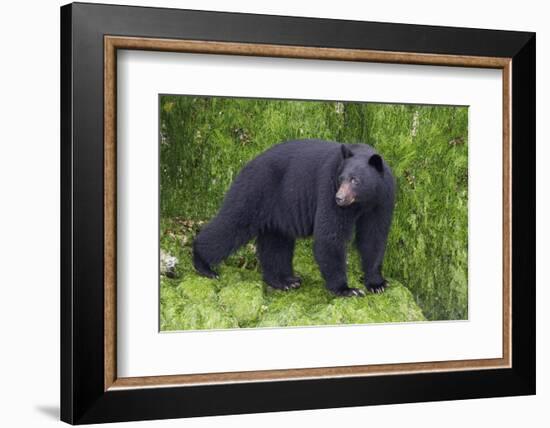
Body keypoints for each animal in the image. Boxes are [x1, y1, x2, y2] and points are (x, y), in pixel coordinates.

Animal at [194, 139, 396, 296]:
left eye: (355, 180)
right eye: (341, 178)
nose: (339, 198)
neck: (363, 201)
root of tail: (247, 164)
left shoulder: (382, 200)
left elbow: (374, 237)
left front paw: (377, 283)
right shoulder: (327, 189)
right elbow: (330, 235)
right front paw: (346, 289)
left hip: (277, 210)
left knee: (276, 244)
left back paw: (284, 281)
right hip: (254, 190)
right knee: (232, 225)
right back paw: (203, 264)